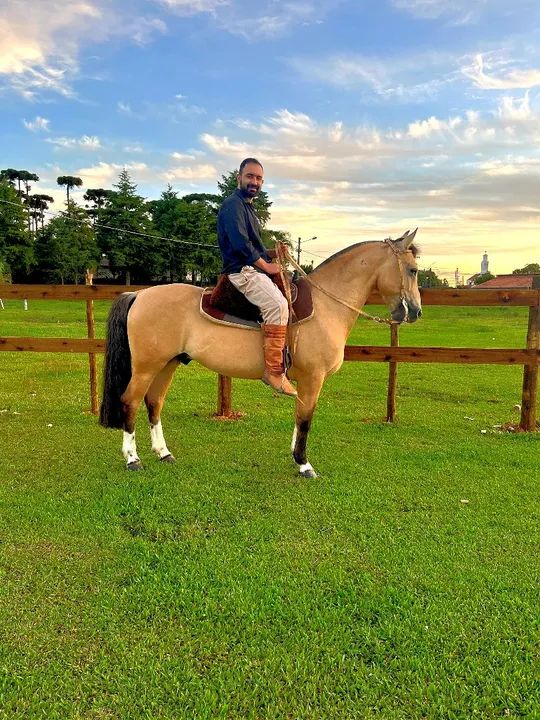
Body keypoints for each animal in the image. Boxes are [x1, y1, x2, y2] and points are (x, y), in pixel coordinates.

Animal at [99, 230, 422, 477]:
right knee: (130, 401)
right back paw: (133, 459)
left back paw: (163, 453)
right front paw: (304, 464)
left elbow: (298, 417)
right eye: (413, 270)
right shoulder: (313, 379)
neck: (326, 305)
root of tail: (139, 294)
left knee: (154, 403)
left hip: (167, 364)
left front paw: (295, 456)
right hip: (146, 366)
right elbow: (306, 419)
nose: (416, 312)